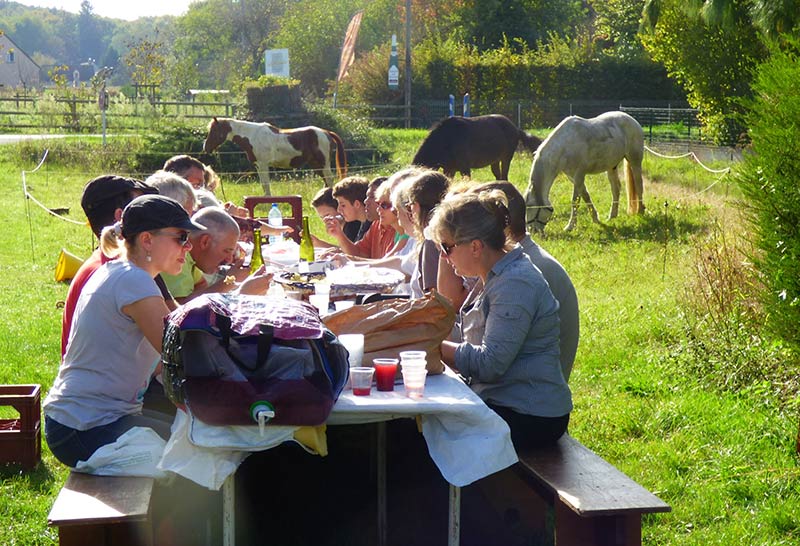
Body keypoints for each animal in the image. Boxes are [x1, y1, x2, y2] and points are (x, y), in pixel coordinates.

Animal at [202, 116, 346, 194]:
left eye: (214, 131)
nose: (206, 147)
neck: (252, 136)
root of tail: (326, 132)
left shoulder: (263, 165)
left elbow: (266, 184)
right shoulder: (258, 166)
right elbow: (263, 184)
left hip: (324, 164)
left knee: (329, 180)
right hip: (316, 164)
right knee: (326, 182)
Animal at [520, 109, 648, 231]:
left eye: (530, 206)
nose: (532, 231)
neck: (565, 145)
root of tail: (632, 120)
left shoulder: (578, 175)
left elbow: (575, 201)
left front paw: (570, 226)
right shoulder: (573, 177)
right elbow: (586, 196)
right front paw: (596, 219)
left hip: (635, 161)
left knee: (638, 185)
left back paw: (640, 212)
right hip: (612, 167)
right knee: (615, 189)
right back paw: (612, 216)